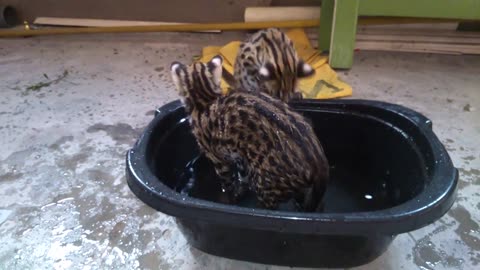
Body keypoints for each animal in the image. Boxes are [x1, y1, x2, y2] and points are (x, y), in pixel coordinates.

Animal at [170, 55, 330, 211]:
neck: (204, 98)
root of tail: (319, 166)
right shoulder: (240, 155)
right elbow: (242, 176)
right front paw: (241, 189)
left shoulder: (217, 158)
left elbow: (227, 183)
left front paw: (230, 197)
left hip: (265, 182)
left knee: (270, 206)